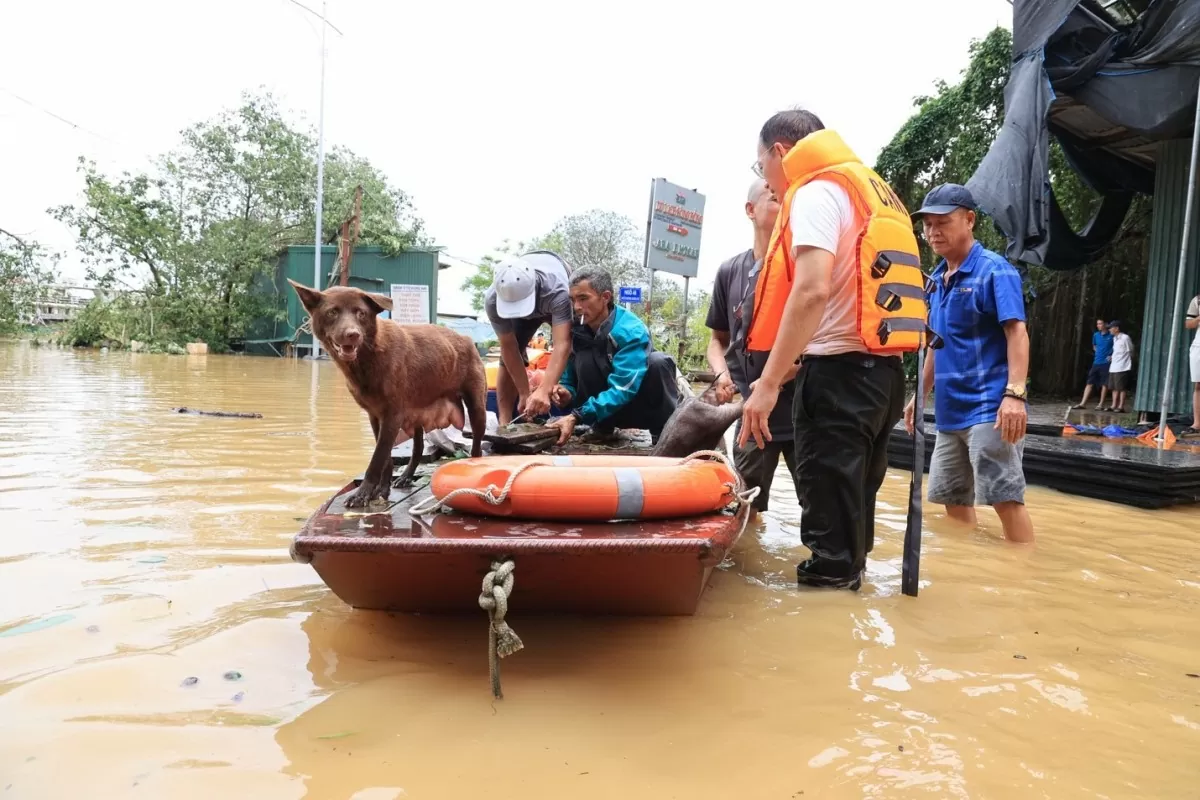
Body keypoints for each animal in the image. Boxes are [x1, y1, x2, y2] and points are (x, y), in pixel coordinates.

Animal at [286, 278, 487, 510]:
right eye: (332, 312)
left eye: (361, 313)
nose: (352, 334)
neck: (369, 354)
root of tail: (466, 339)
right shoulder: (375, 415)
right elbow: (386, 457)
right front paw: (381, 490)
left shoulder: (393, 414)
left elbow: (377, 458)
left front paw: (362, 494)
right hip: (417, 410)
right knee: (418, 447)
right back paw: (406, 476)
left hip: (476, 407)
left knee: (477, 446)